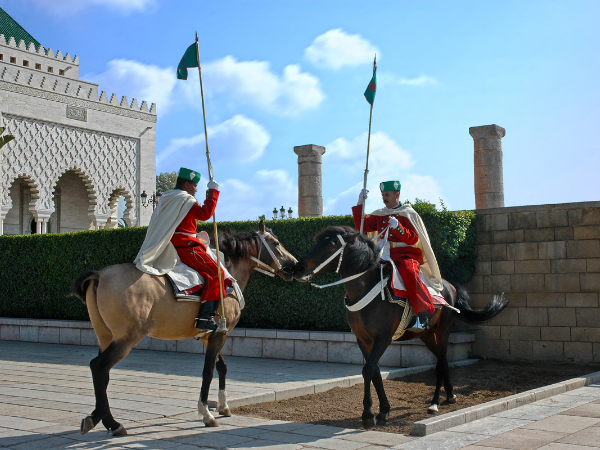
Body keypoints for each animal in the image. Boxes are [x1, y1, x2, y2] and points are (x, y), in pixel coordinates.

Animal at [71, 221, 298, 436]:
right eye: (276, 243)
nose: (295, 266)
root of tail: (99, 275)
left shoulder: (211, 335)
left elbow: (221, 367)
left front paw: (223, 405)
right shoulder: (219, 334)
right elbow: (208, 371)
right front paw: (206, 413)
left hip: (106, 337)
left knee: (103, 373)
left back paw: (99, 417)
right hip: (126, 338)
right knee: (99, 367)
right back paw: (112, 422)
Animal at [292, 225, 508, 428]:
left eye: (331, 244)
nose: (298, 268)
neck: (366, 290)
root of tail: (449, 285)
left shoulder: (383, 338)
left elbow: (368, 370)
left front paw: (368, 415)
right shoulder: (363, 339)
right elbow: (375, 371)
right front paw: (383, 410)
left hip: (442, 331)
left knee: (440, 363)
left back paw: (435, 403)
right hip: (427, 335)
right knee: (444, 360)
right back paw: (450, 395)